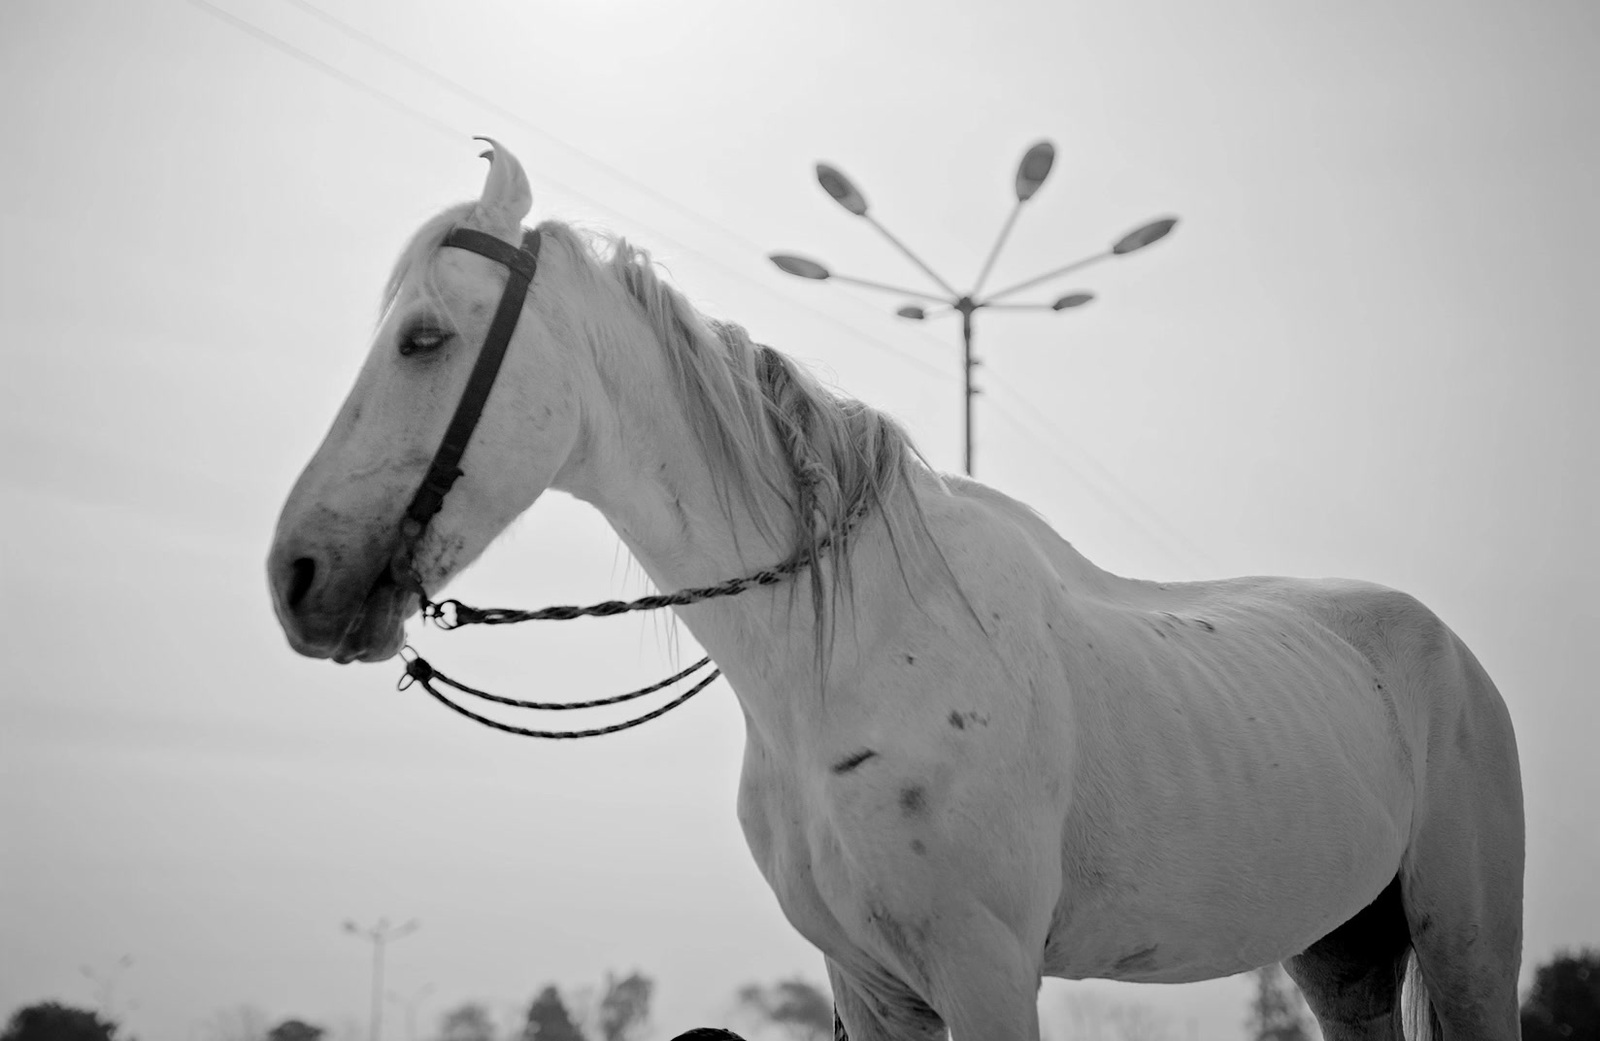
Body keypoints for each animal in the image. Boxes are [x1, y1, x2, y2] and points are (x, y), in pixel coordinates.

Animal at [265, 142, 1523, 1036]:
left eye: (423, 339)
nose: (296, 577)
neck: (848, 652)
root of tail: (1451, 653)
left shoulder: (985, 974)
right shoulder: (871, 989)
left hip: (1467, 946)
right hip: (1339, 957)